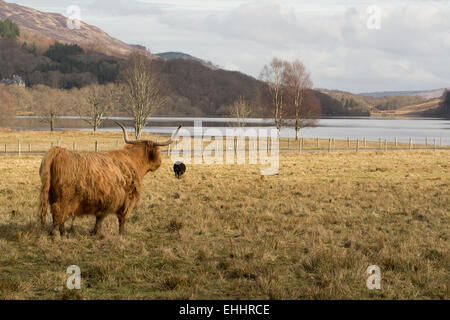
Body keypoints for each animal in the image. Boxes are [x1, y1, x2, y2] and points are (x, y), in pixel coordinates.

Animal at [37, 122, 181, 235]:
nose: (159, 163)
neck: (134, 161)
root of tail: (58, 150)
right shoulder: (126, 198)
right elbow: (121, 218)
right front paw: (121, 233)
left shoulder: (106, 200)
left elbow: (100, 218)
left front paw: (95, 232)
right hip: (64, 198)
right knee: (59, 213)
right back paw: (57, 234)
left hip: (53, 195)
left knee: (58, 214)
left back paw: (62, 233)